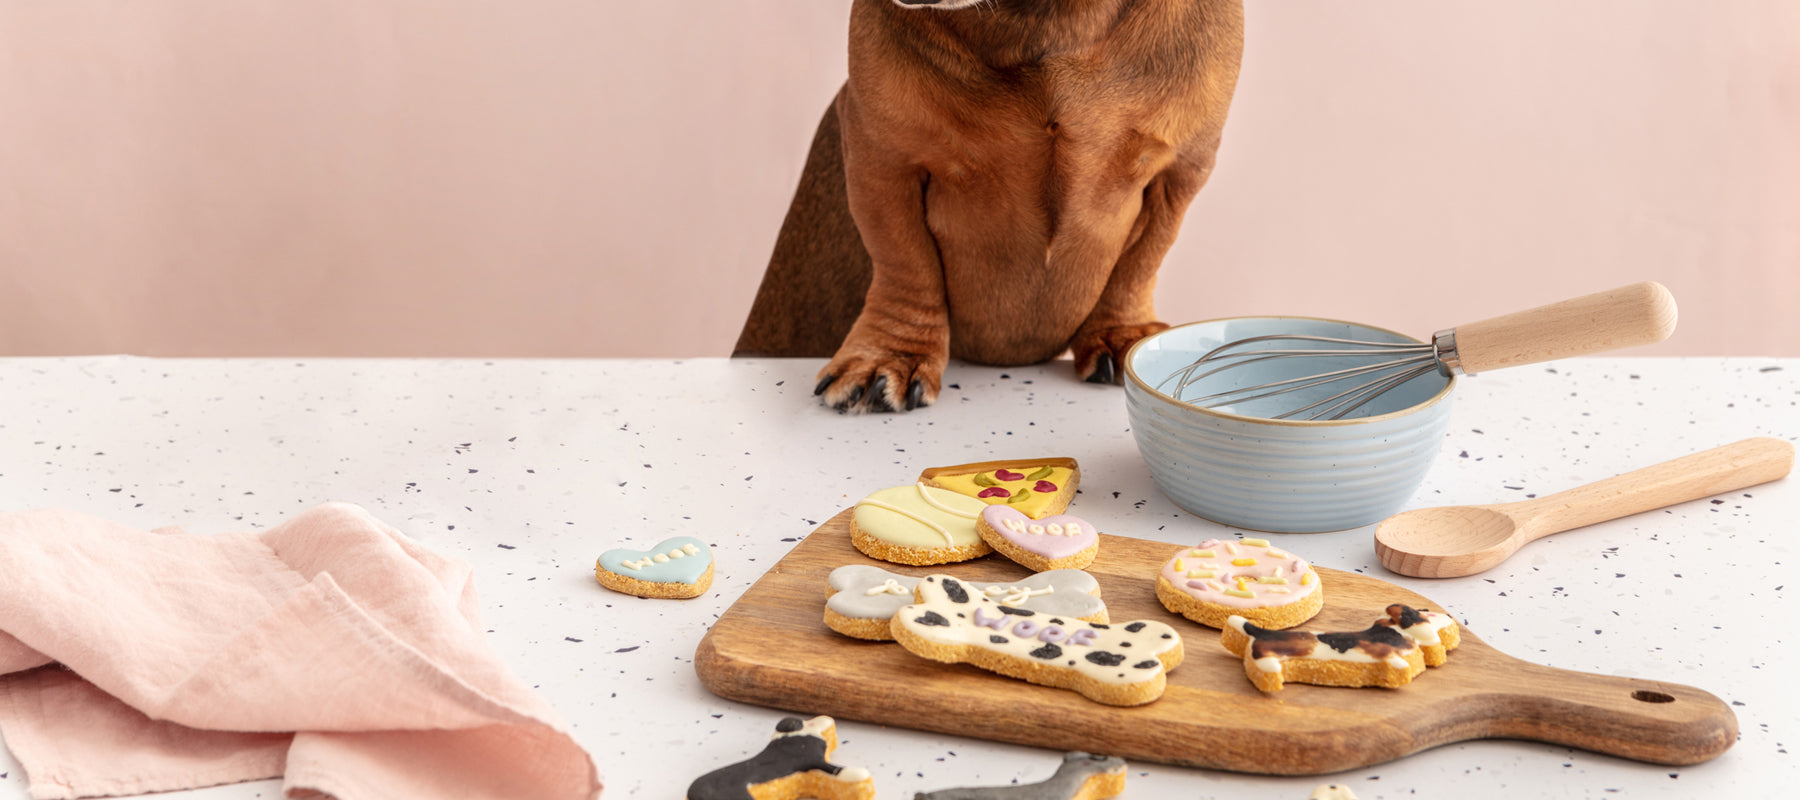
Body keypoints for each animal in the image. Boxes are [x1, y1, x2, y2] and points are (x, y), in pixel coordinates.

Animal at [730, 0, 1238, 412]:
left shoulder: (1180, 172)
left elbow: (1141, 261)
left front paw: (1122, 333)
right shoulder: (881, 156)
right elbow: (904, 262)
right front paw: (891, 356)